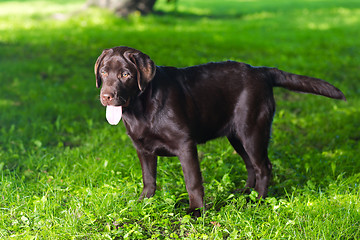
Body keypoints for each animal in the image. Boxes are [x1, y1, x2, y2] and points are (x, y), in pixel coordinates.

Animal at [93, 46, 346, 217]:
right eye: (104, 73)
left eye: (126, 74)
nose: (106, 96)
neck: (141, 107)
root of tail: (261, 71)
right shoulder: (143, 149)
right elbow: (148, 180)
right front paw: (143, 202)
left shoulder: (185, 145)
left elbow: (193, 181)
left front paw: (196, 211)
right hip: (237, 136)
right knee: (250, 165)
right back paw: (246, 192)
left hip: (252, 130)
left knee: (264, 166)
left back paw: (258, 201)